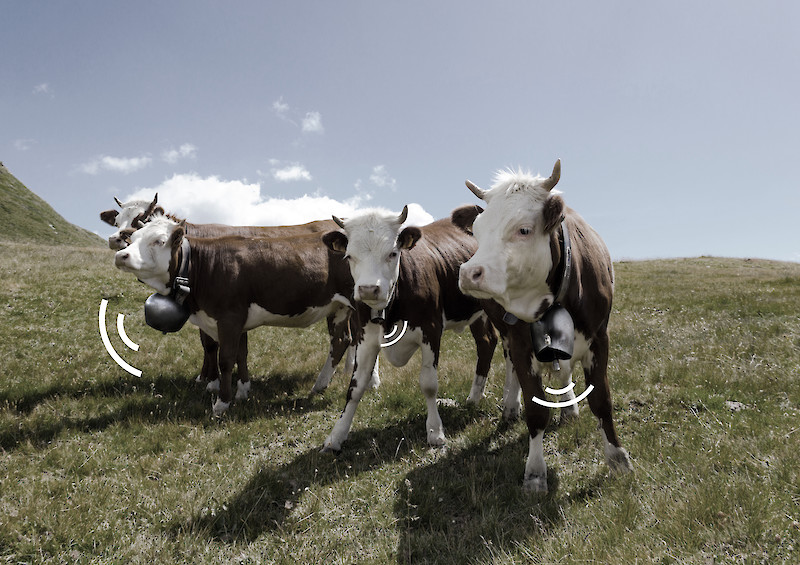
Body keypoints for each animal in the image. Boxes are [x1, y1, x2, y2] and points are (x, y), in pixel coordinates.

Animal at [101, 196, 356, 396]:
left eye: (140, 219)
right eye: (117, 220)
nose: (117, 239)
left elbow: (212, 346)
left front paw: (212, 383)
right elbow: (223, 348)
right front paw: (213, 379)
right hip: (338, 307)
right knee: (345, 339)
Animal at [320, 206, 499, 452]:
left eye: (393, 253)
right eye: (349, 256)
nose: (368, 289)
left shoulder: (431, 331)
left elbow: (429, 384)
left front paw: (435, 432)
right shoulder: (365, 338)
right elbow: (355, 388)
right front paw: (336, 436)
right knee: (486, 342)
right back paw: (474, 398)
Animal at [453, 159, 633, 492]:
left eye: (523, 229)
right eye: (477, 231)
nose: (469, 273)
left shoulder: (600, 338)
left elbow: (601, 400)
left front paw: (618, 459)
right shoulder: (521, 341)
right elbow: (536, 412)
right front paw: (535, 473)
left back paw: (570, 408)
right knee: (511, 366)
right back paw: (511, 406)